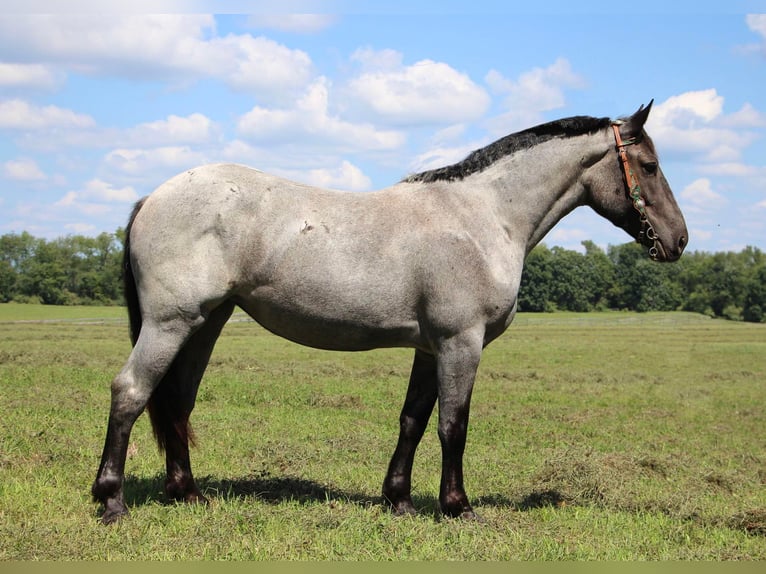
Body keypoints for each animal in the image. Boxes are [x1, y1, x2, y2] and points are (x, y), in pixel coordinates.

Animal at [91, 101, 688, 524]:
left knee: (175, 401)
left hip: (204, 324)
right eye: (650, 165)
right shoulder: (460, 342)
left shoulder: (430, 347)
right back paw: (112, 501)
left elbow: (413, 421)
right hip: (170, 324)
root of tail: (153, 197)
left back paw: (187, 494)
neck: (483, 215)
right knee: (131, 393)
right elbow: (454, 425)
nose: (679, 240)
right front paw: (457, 506)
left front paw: (398, 500)